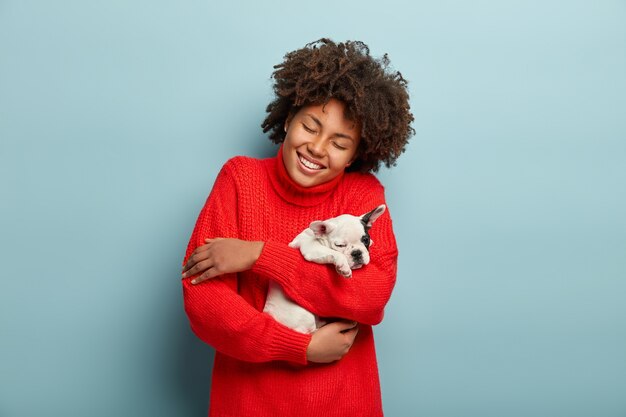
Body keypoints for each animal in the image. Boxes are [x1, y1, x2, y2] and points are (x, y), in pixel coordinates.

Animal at [260, 203, 386, 334]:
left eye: (365, 239)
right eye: (340, 245)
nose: (356, 253)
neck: (319, 237)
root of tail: (269, 314)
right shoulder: (311, 247)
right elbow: (334, 253)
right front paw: (343, 266)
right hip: (304, 315)